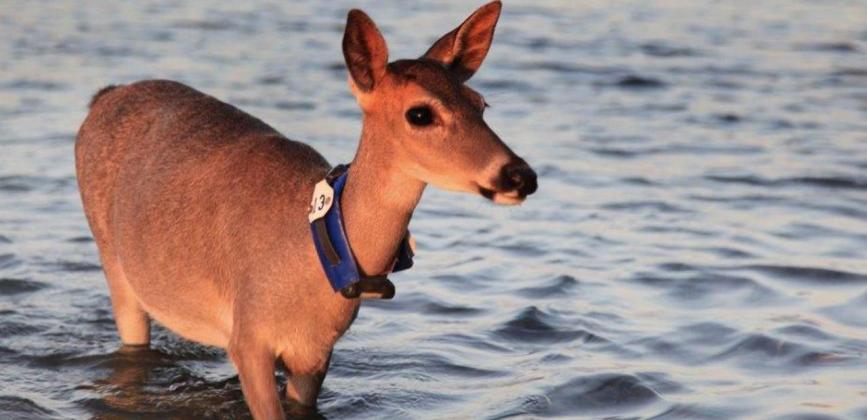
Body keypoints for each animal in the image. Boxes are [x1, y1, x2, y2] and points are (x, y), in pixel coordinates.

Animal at [75, 1, 536, 418]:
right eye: (420, 113)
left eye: (480, 103)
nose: (520, 175)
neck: (313, 255)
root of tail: (102, 98)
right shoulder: (249, 338)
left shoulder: (315, 354)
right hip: (114, 262)